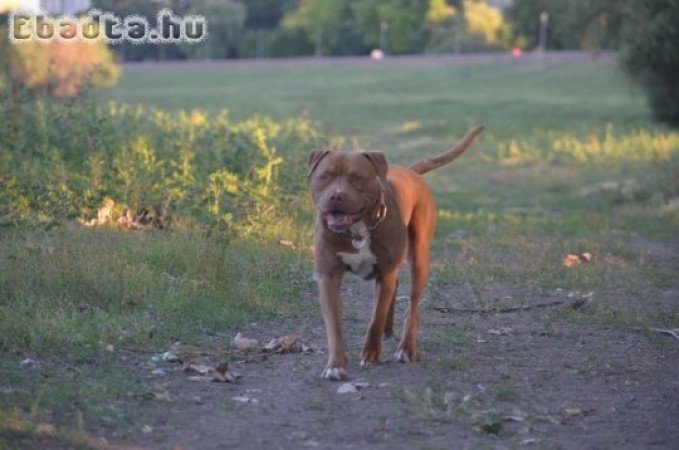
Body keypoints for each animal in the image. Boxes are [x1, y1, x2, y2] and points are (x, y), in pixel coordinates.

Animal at [308, 125, 484, 380]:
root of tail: (411, 171)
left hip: (419, 257)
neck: (358, 230)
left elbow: (376, 317)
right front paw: (335, 365)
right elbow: (334, 326)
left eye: (357, 177)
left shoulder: (385, 272)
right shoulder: (328, 277)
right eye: (325, 177)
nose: (336, 196)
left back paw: (406, 348)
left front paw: (371, 353)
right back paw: (389, 330)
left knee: (413, 305)